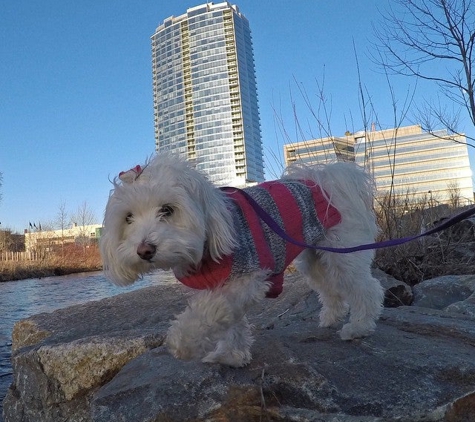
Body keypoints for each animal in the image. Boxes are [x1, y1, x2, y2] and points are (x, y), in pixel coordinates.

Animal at [101, 153, 386, 368]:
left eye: (168, 210)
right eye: (128, 218)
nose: (144, 250)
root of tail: (325, 179)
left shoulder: (247, 278)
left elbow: (211, 311)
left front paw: (183, 343)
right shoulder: (223, 284)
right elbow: (230, 319)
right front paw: (231, 355)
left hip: (343, 252)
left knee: (367, 289)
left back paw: (358, 327)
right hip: (315, 257)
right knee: (329, 288)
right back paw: (331, 316)